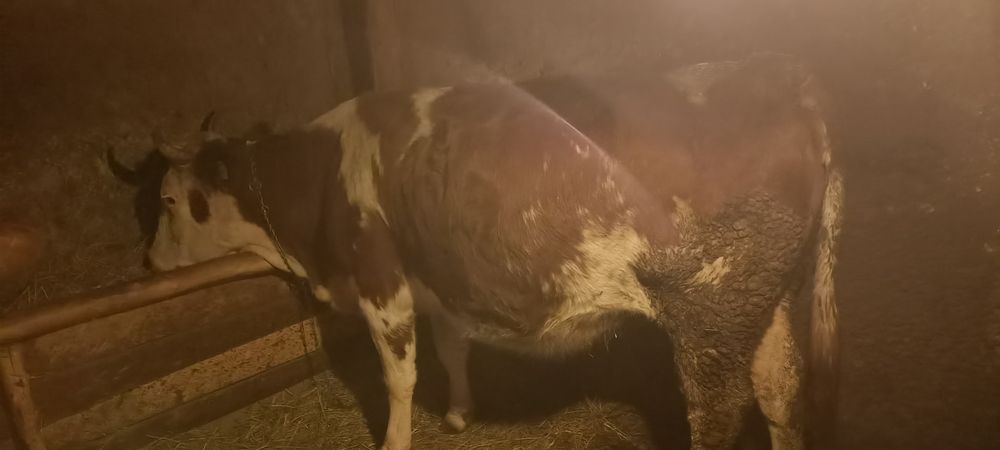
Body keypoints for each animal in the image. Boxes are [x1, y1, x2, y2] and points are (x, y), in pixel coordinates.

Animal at [120, 53, 843, 450]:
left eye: (169, 200)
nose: (149, 264)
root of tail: (787, 79)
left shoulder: (381, 279)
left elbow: (399, 377)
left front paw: (397, 438)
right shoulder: (439, 277)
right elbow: (452, 347)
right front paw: (461, 414)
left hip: (709, 317)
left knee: (719, 416)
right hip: (768, 300)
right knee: (781, 393)